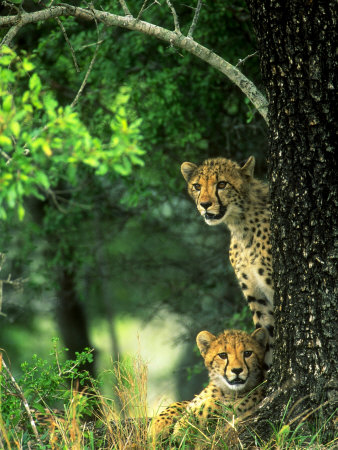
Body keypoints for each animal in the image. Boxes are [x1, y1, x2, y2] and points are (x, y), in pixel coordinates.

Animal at [181, 157, 274, 370]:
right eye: (197, 186)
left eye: (222, 184)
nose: (205, 204)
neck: (241, 225)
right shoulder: (258, 297)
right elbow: (266, 336)